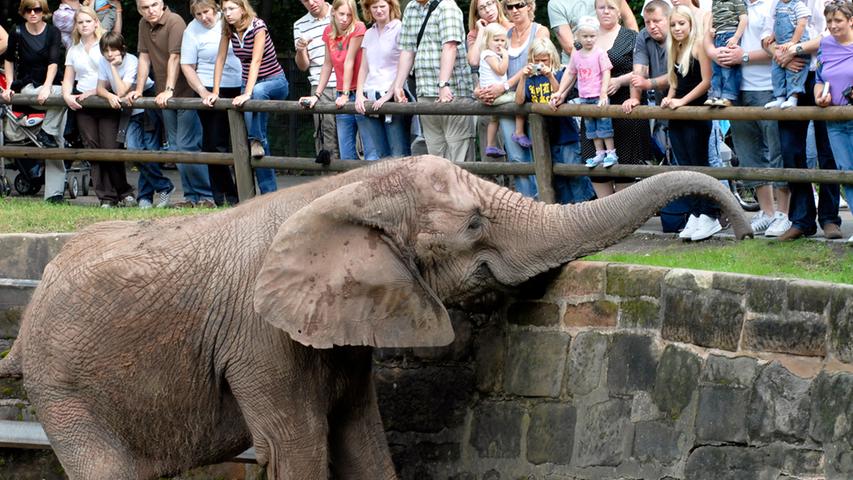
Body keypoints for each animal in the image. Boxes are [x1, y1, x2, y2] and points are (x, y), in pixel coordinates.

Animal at [0, 156, 744, 478]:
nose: (737, 224)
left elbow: (363, 439)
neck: (346, 185)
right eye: (474, 223)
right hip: (62, 388)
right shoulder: (259, 337)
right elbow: (299, 445)